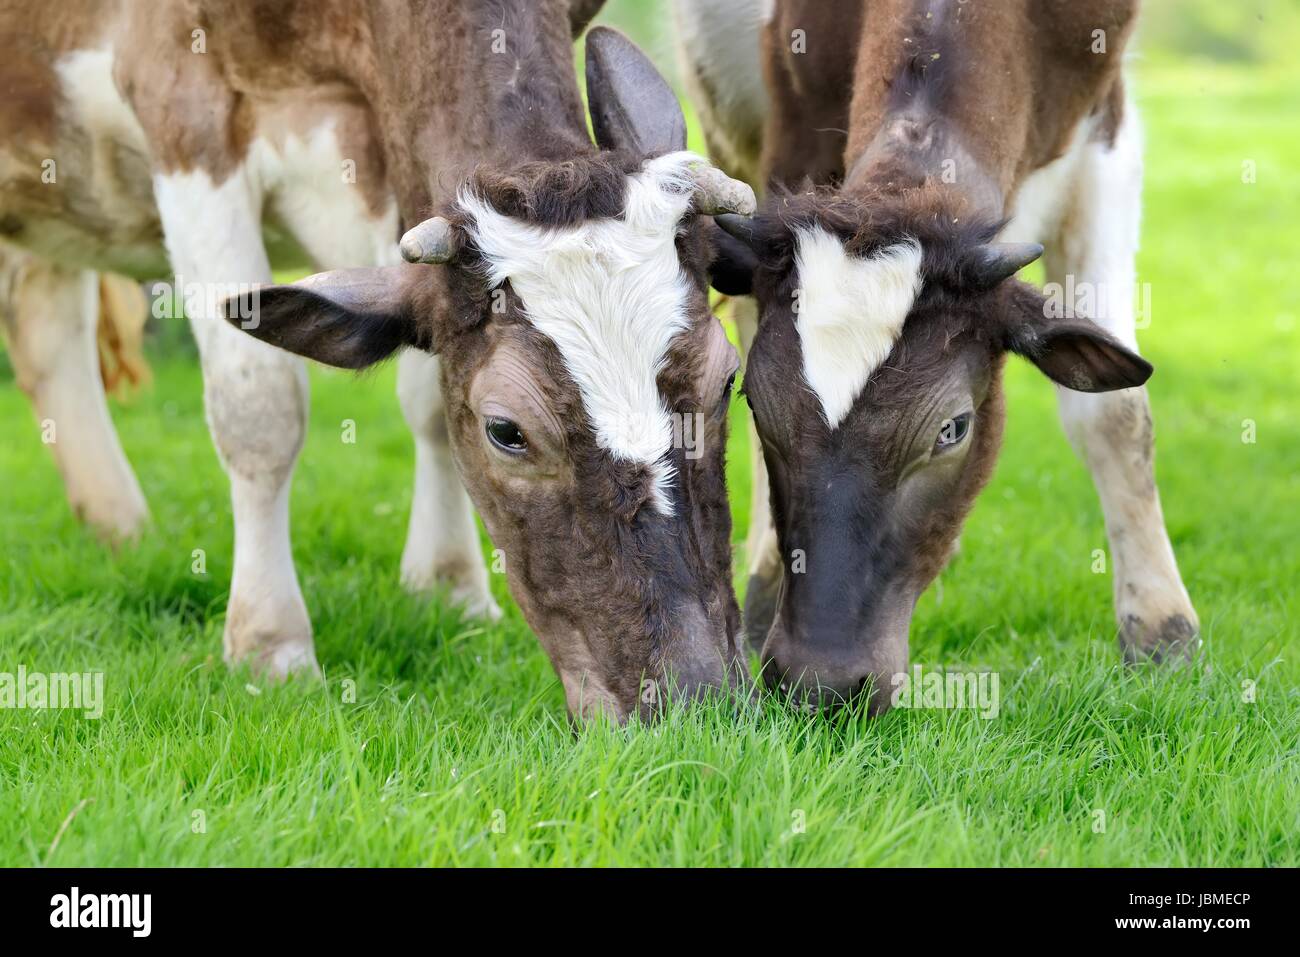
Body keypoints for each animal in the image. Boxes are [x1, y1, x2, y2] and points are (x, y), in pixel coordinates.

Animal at [0, 0, 756, 721]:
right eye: (506, 430)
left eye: (726, 380)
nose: (696, 698)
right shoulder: (183, 108)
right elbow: (260, 408)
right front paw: (270, 641)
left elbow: (426, 399)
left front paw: (448, 586)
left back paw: (117, 527)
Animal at [676, 0, 1199, 712]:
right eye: (756, 403)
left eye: (953, 429)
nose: (821, 683)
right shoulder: (789, 134)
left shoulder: (1102, 130)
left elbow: (1113, 416)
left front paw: (1160, 629)